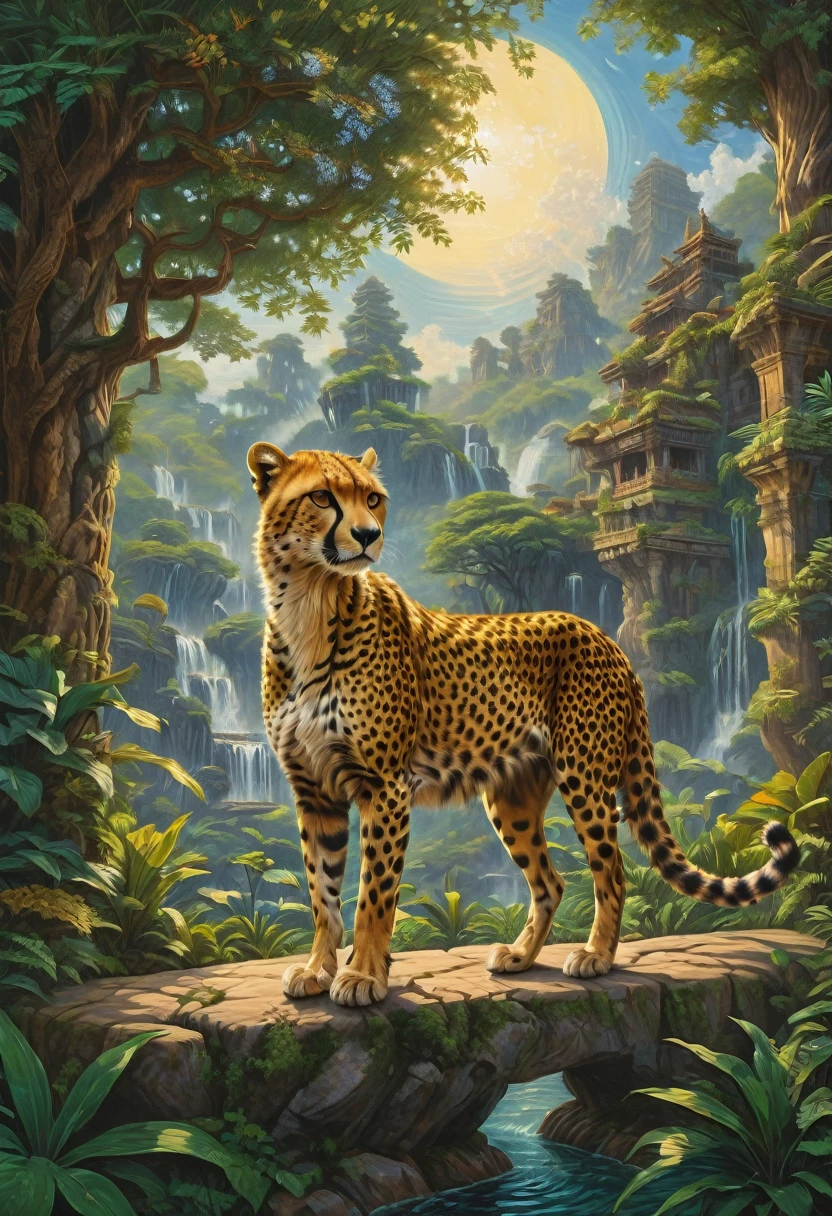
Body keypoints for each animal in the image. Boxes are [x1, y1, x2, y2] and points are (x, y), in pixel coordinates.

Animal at [248, 442, 799, 1007]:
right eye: (322, 497)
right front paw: (316, 970)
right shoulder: (315, 791)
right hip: (512, 798)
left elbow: (372, 893)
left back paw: (595, 957)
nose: (366, 535)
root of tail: (607, 638)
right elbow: (322, 891)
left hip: (584, 776)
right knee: (551, 881)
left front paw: (362, 977)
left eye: (373, 499)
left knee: (612, 870)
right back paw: (521, 956)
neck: (310, 602)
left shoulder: (385, 786)